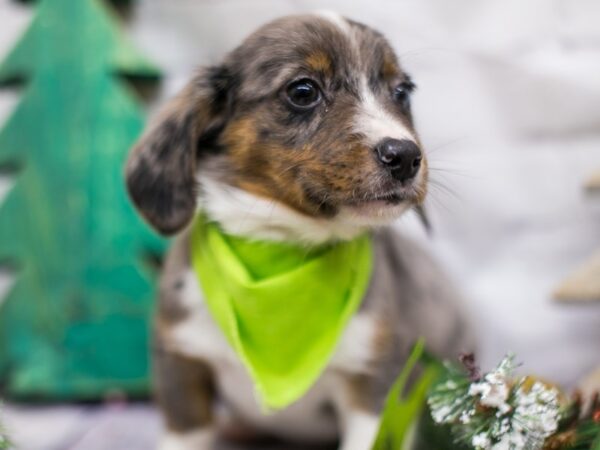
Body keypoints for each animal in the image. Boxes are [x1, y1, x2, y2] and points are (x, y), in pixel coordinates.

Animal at [125, 12, 474, 448]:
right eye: (303, 91)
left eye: (402, 93)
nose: (407, 156)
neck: (282, 250)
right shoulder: (182, 367)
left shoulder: (374, 384)